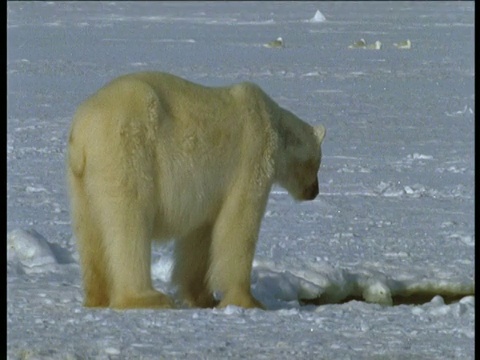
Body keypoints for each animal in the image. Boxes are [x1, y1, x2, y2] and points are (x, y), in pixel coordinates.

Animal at [67, 71, 326, 310]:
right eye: (317, 163)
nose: (315, 191)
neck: (274, 125)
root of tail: (83, 130)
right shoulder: (252, 156)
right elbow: (239, 224)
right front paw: (247, 301)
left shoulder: (209, 193)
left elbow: (200, 235)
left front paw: (203, 298)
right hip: (129, 147)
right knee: (130, 219)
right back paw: (147, 298)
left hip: (82, 180)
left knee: (90, 228)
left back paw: (97, 296)